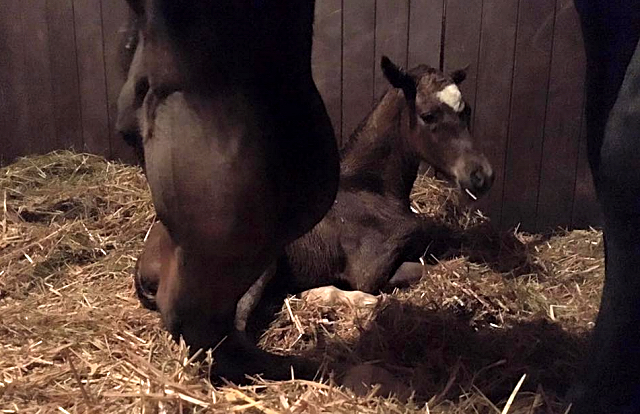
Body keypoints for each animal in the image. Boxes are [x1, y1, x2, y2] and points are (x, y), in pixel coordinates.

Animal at [136, 55, 496, 334]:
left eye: (466, 111)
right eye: (428, 115)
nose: (482, 175)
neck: (371, 188)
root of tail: (143, 261)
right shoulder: (370, 271)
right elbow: (433, 270)